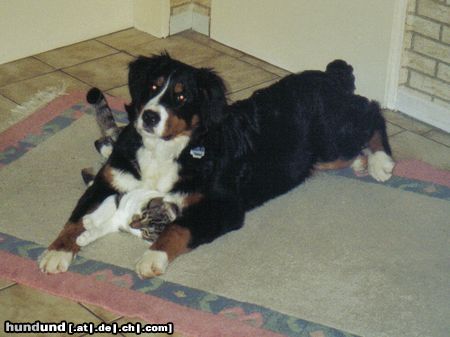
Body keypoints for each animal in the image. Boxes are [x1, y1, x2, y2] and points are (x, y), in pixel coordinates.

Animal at [38, 53, 394, 278]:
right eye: (152, 86)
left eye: (182, 97)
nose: (149, 116)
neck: (162, 151)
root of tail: (330, 76)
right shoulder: (109, 179)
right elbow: (76, 218)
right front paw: (57, 251)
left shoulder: (223, 205)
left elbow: (178, 228)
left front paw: (152, 257)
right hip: (325, 154)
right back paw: (362, 163)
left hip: (332, 138)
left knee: (372, 110)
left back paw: (381, 162)